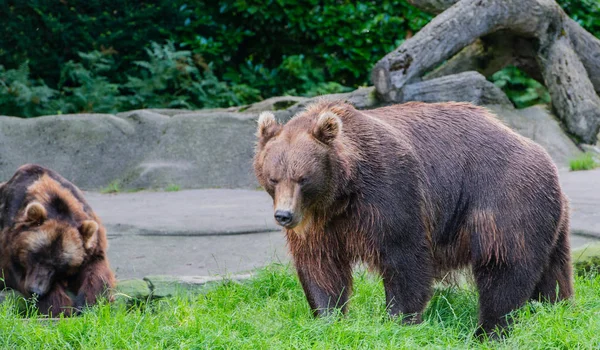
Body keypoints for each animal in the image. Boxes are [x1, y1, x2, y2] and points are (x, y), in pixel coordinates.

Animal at [0, 164, 115, 314]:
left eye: (59, 266)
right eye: (35, 255)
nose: (36, 290)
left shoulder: (92, 244)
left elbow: (97, 272)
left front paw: (87, 304)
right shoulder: (9, 244)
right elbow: (16, 273)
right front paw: (60, 308)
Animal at [253, 100, 572, 336]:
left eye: (303, 178)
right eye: (273, 178)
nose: (284, 215)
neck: (342, 194)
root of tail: (545, 156)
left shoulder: (388, 191)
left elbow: (404, 256)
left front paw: (398, 319)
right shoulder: (321, 225)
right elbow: (319, 266)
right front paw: (327, 318)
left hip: (504, 198)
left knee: (504, 266)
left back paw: (489, 330)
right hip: (546, 216)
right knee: (553, 270)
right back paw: (556, 309)